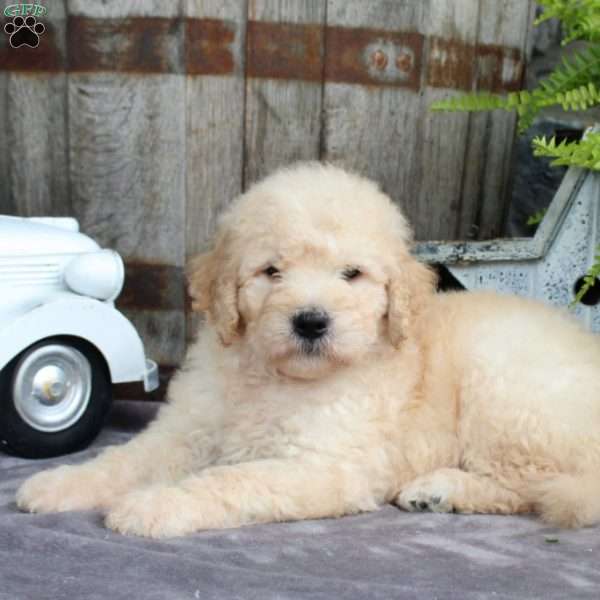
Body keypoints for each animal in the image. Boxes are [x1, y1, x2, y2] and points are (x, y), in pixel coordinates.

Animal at [15, 162, 600, 536]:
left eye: (352, 274)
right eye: (272, 271)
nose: (311, 322)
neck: (280, 378)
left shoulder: (324, 464)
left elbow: (230, 479)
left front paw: (154, 505)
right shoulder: (188, 429)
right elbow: (125, 458)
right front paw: (60, 484)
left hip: (504, 391)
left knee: (538, 485)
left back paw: (443, 488)